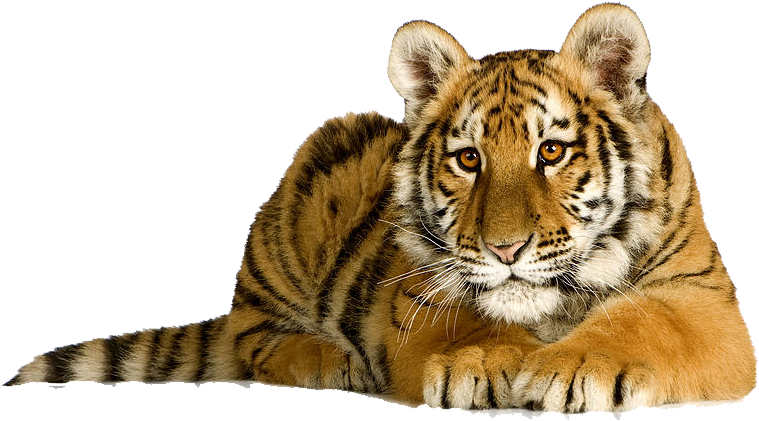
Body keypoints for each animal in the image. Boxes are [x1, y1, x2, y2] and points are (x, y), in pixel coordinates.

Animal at [7, 3, 756, 413]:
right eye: (468, 159)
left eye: (550, 151)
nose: (505, 250)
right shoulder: (414, 295)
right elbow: (465, 319)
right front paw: (486, 361)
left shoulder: (704, 301)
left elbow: (644, 321)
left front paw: (571, 366)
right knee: (250, 337)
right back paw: (325, 358)